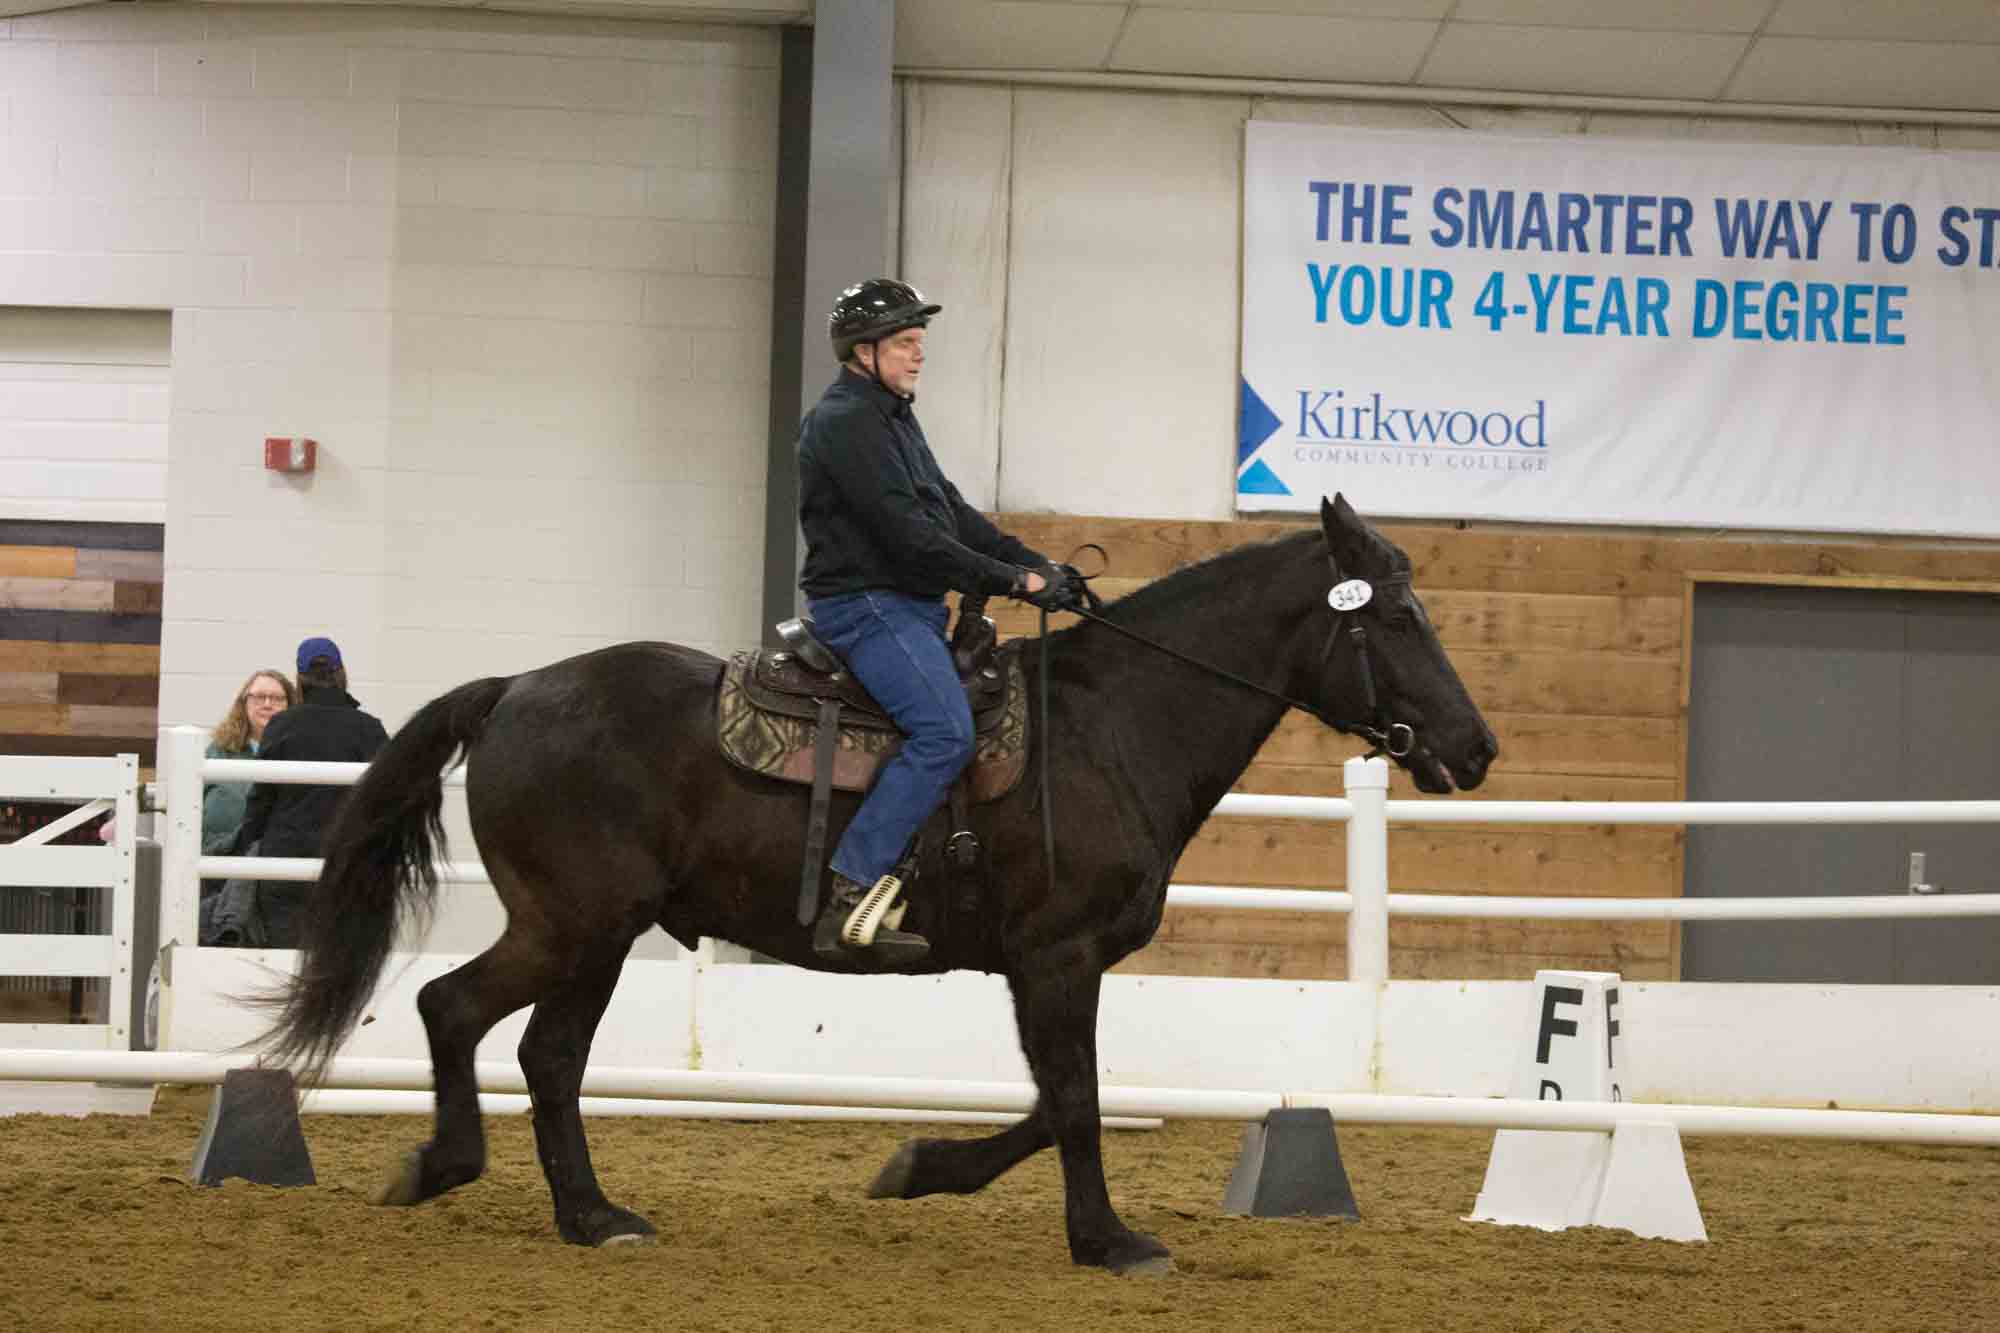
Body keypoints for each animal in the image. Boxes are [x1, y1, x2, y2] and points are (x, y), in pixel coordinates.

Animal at [258, 493, 1497, 1275]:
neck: (1105, 728)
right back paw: (454, 1169)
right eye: (1396, 614)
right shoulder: (1058, 957)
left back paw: (590, 1213)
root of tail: (514, 688)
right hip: (575, 923)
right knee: (455, 1008)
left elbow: (1054, 1100)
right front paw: (1107, 1242)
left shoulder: (1042, 965)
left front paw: (920, 1167)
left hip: (594, 935)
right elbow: (1076, 1100)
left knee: (542, 1053)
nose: (1475, 747)